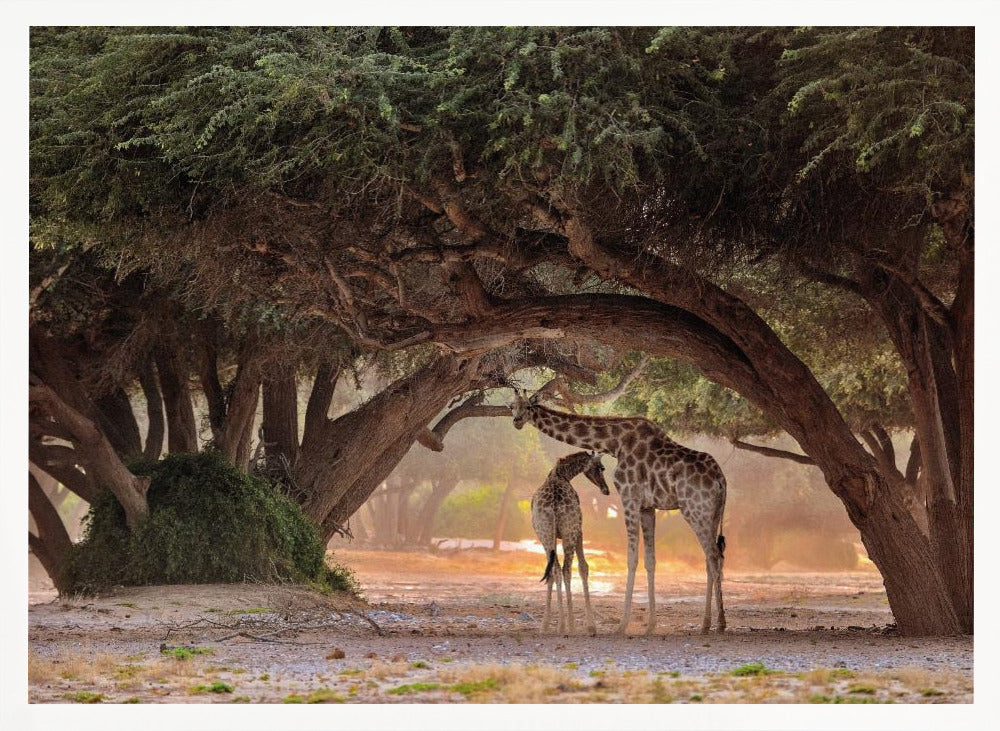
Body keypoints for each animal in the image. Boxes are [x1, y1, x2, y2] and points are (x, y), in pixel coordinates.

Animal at [531, 450, 610, 636]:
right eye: (601, 467)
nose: (606, 490)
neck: (562, 473)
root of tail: (554, 503)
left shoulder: (549, 537)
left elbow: (552, 572)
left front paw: (546, 625)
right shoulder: (579, 531)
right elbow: (583, 567)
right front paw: (590, 625)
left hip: (546, 535)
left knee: (555, 570)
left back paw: (556, 624)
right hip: (569, 532)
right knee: (566, 569)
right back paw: (570, 624)